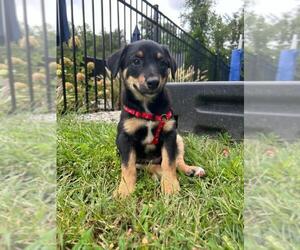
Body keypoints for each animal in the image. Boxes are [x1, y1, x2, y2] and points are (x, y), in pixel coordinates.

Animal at [106, 40, 205, 198]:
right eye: (136, 61)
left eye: (163, 63)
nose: (153, 82)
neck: (147, 107)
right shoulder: (124, 139)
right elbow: (128, 167)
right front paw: (125, 191)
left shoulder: (169, 134)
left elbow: (169, 162)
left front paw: (170, 185)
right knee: (146, 165)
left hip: (179, 139)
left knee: (177, 160)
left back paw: (191, 169)